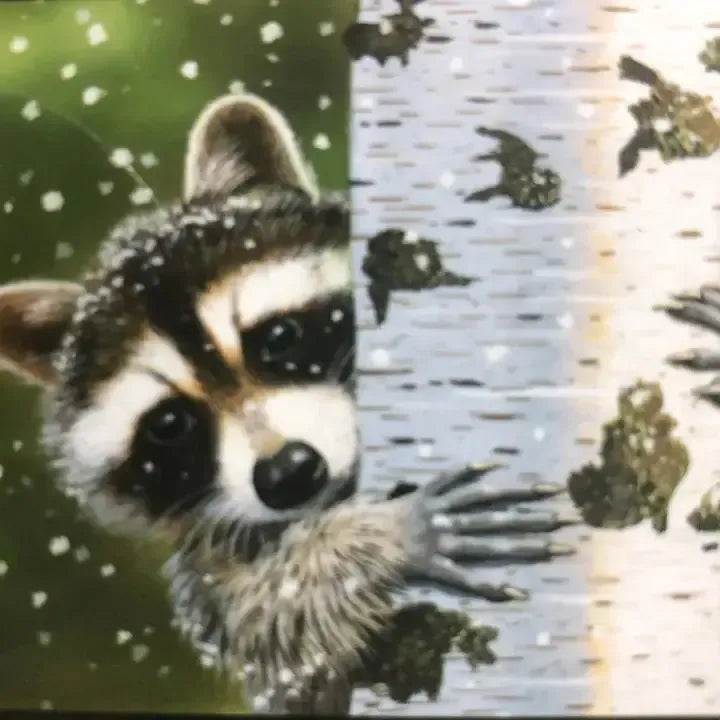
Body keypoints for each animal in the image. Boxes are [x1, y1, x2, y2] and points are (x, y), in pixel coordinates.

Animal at [0, 94, 573, 713]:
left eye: (278, 338)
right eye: (170, 423)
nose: (288, 473)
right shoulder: (214, 560)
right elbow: (277, 624)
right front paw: (385, 536)